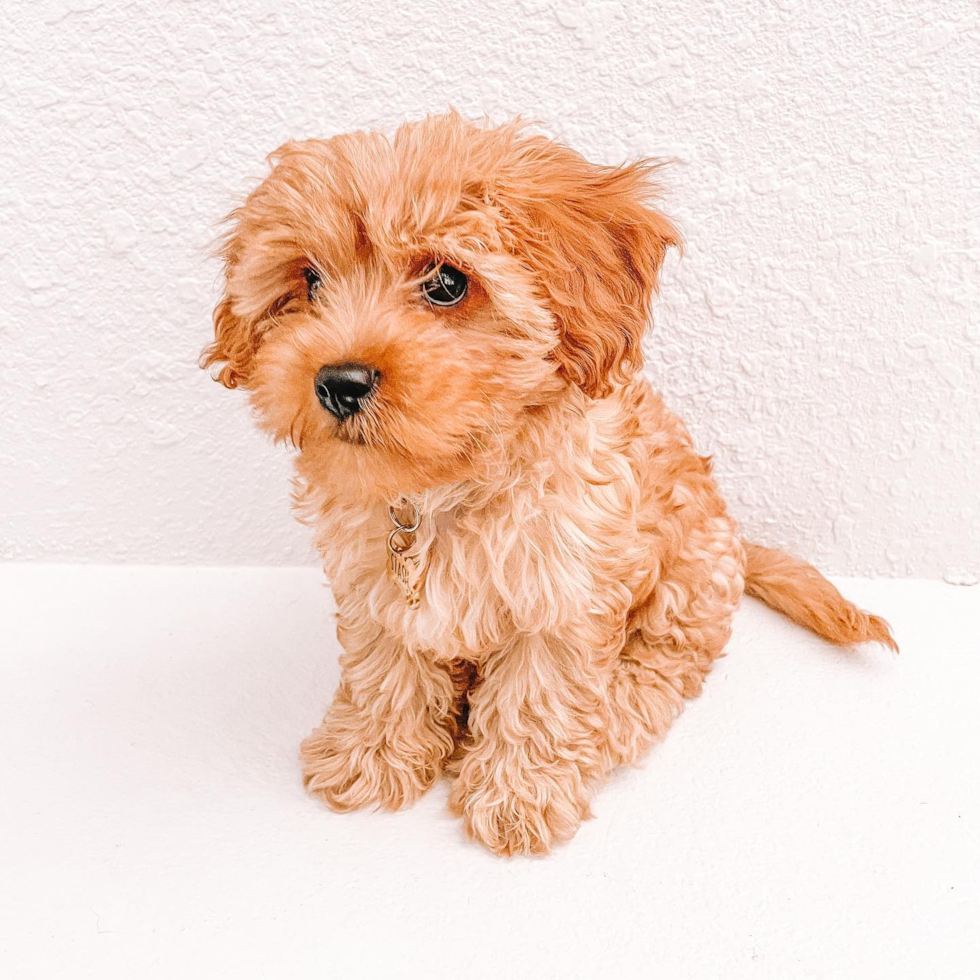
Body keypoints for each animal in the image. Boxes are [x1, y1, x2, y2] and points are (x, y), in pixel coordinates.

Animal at [203, 113, 900, 848]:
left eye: (446, 283)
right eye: (309, 281)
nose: (339, 382)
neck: (447, 488)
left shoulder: (563, 600)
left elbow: (536, 699)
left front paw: (516, 797)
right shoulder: (378, 594)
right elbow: (387, 674)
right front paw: (370, 756)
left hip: (691, 574)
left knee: (670, 660)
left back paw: (616, 718)